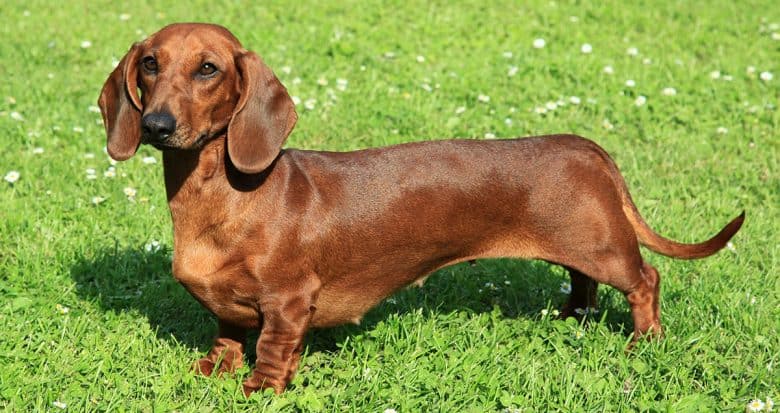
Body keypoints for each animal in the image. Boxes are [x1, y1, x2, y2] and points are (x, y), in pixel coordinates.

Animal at [97, 23, 744, 396]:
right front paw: (212, 371)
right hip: (581, 249)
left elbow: (273, 350)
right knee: (582, 284)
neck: (223, 197)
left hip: (605, 247)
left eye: (208, 68)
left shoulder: (288, 301)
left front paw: (260, 389)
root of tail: (588, 147)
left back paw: (644, 343)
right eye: (150, 63)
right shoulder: (230, 307)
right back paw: (569, 320)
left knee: (646, 279)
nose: (156, 126)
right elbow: (229, 334)